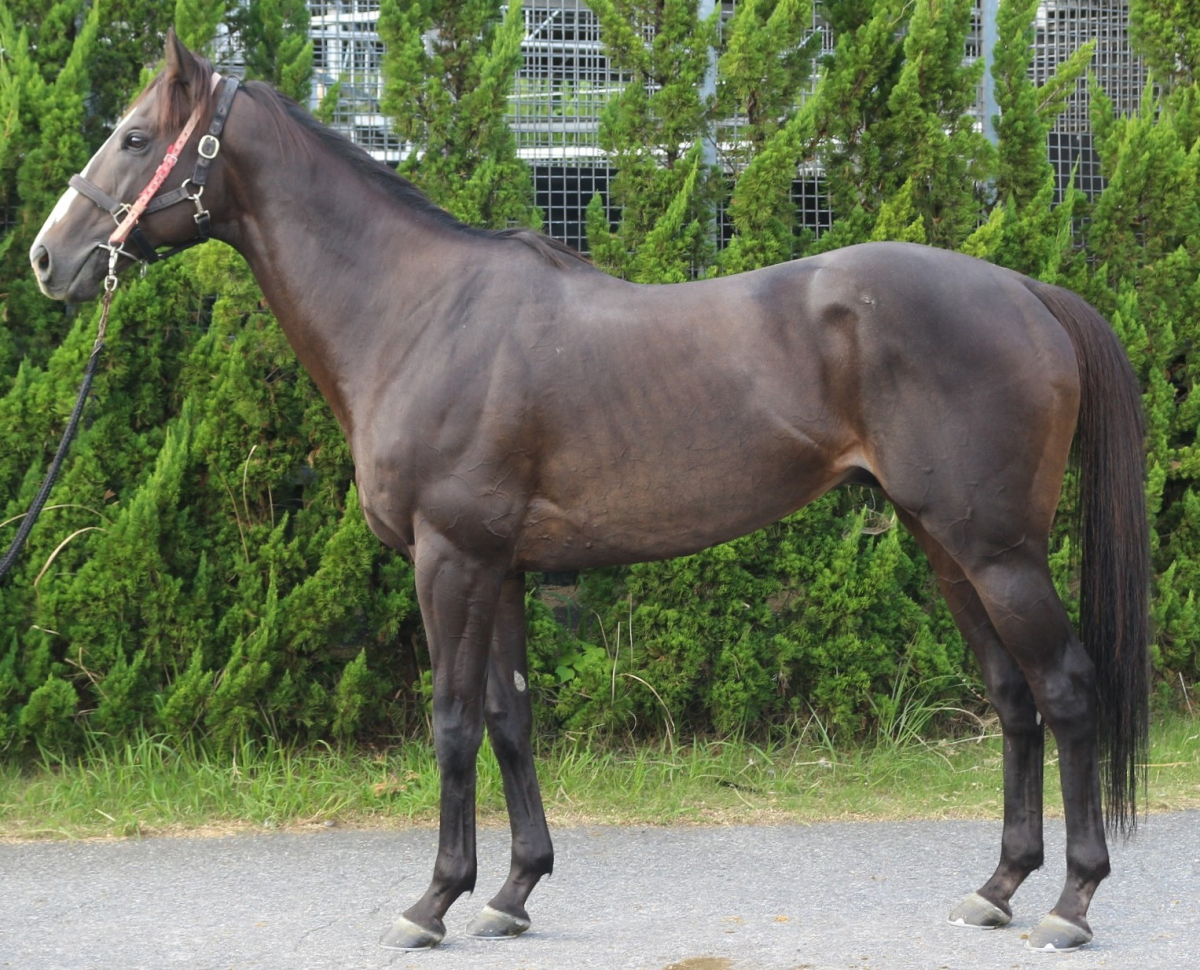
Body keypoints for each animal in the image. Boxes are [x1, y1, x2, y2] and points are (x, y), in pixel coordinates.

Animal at [30, 32, 1148, 954]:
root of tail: (1027, 292)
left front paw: (431, 901)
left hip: (998, 551)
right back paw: (997, 888)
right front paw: (513, 892)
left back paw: (1071, 903)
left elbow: (452, 723)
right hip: (944, 544)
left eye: (135, 136)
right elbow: (511, 718)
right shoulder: (504, 567)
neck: (417, 314)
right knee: (1012, 698)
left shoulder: (451, 559)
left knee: (1066, 690)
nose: (49, 258)